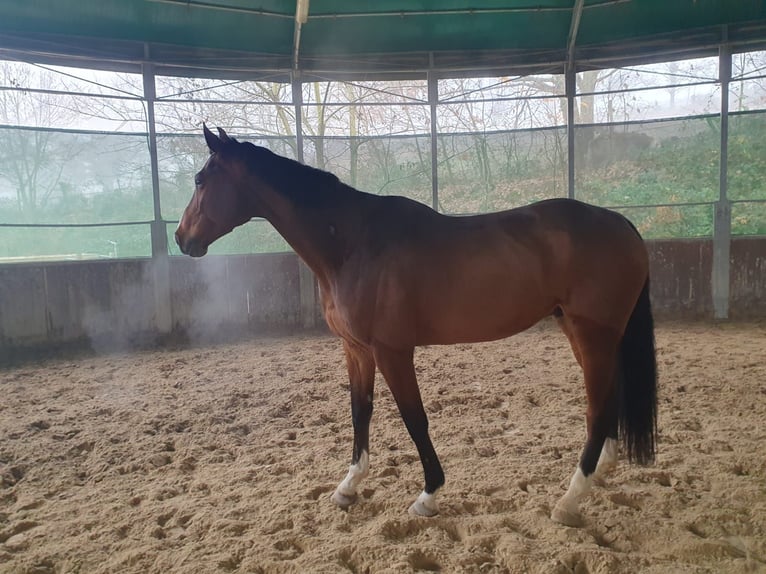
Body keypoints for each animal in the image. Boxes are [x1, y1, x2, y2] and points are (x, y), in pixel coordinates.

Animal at [177, 127, 656, 532]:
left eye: (201, 180)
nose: (183, 239)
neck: (351, 244)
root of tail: (621, 224)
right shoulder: (357, 350)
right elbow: (361, 411)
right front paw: (348, 487)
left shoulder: (393, 351)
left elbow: (414, 419)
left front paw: (429, 494)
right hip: (582, 333)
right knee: (608, 399)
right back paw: (602, 471)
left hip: (592, 335)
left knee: (596, 410)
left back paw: (569, 500)